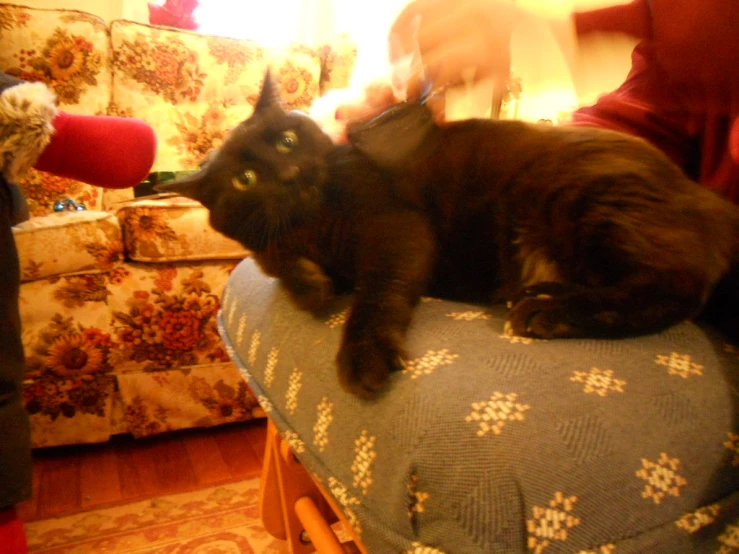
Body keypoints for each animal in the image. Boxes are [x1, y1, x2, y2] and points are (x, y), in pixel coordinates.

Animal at [160, 74, 739, 396]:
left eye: (285, 139)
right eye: (245, 179)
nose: (289, 174)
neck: (314, 224)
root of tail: (703, 196)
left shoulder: (397, 229)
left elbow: (375, 294)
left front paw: (364, 354)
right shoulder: (275, 245)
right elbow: (276, 264)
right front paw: (311, 284)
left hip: (583, 196)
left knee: (674, 288)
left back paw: (548, 310)